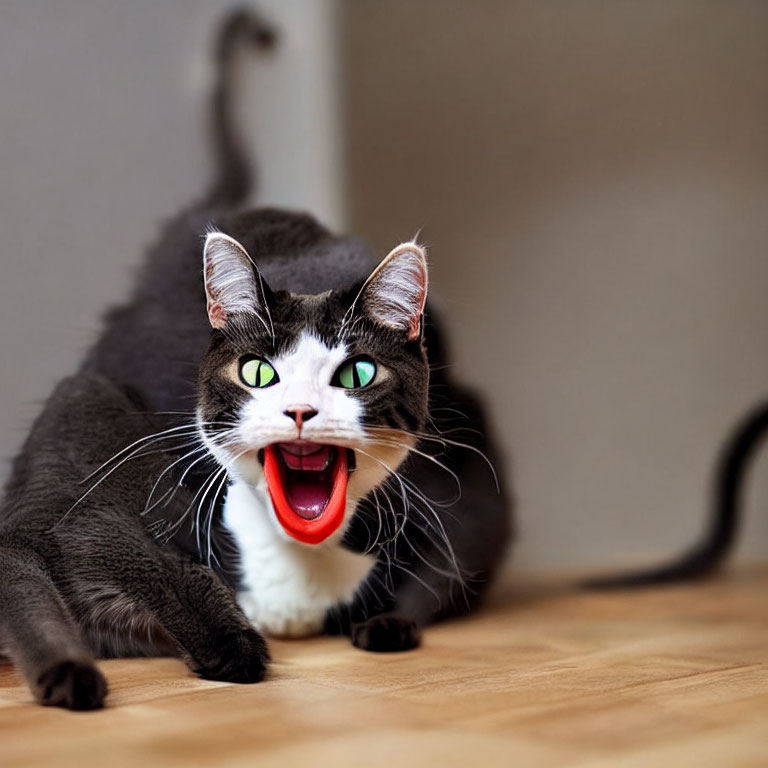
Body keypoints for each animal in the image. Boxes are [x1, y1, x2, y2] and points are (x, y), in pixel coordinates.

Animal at [0, 9, 510, 712]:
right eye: (259, 372)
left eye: (357, 373)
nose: (299, 411)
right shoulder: (101, 509)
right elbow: (143, 563)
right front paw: (229, 647)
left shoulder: (469, 486)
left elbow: (442, 573)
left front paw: (387, 623)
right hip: (87, 407)